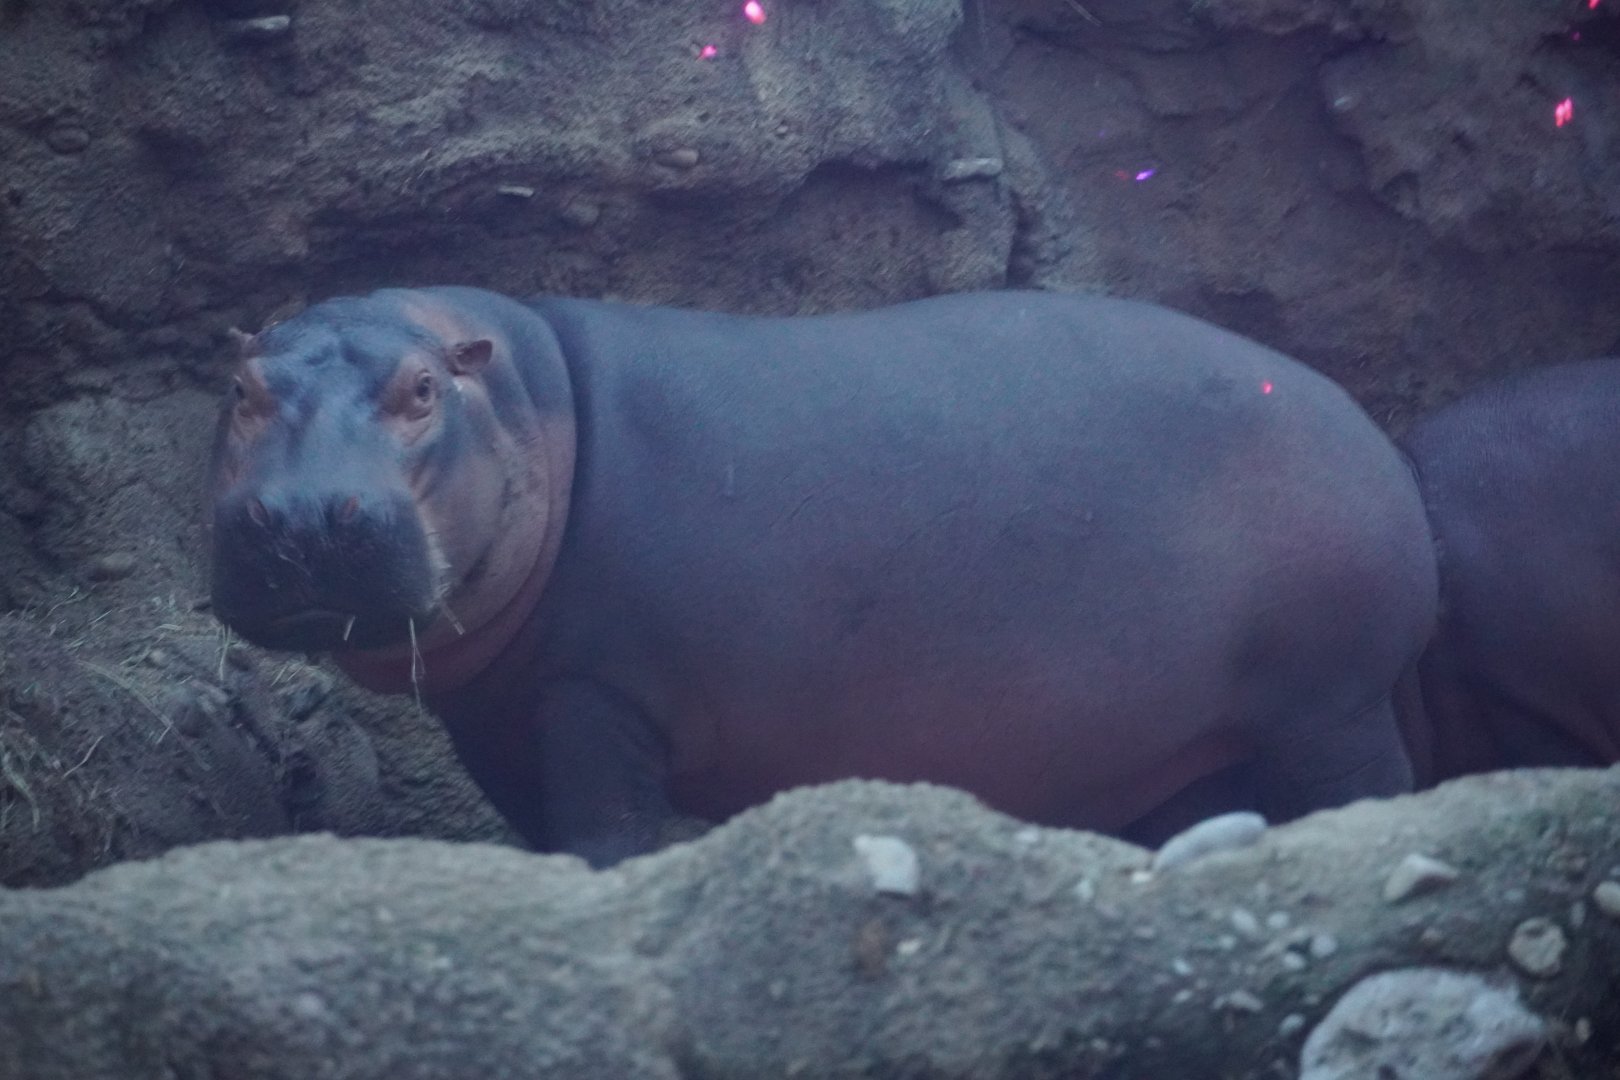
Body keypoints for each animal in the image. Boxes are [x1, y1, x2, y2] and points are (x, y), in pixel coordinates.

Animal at [209, 286, 1438, 865]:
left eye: (422, 391)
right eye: (240, 388)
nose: (306, 516)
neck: (527, 396)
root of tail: (1362, 425)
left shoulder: (596, 694)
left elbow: (606, 832)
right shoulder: (503, 719)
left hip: (1329, 704)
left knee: (1374, 793)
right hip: (1187, 742)